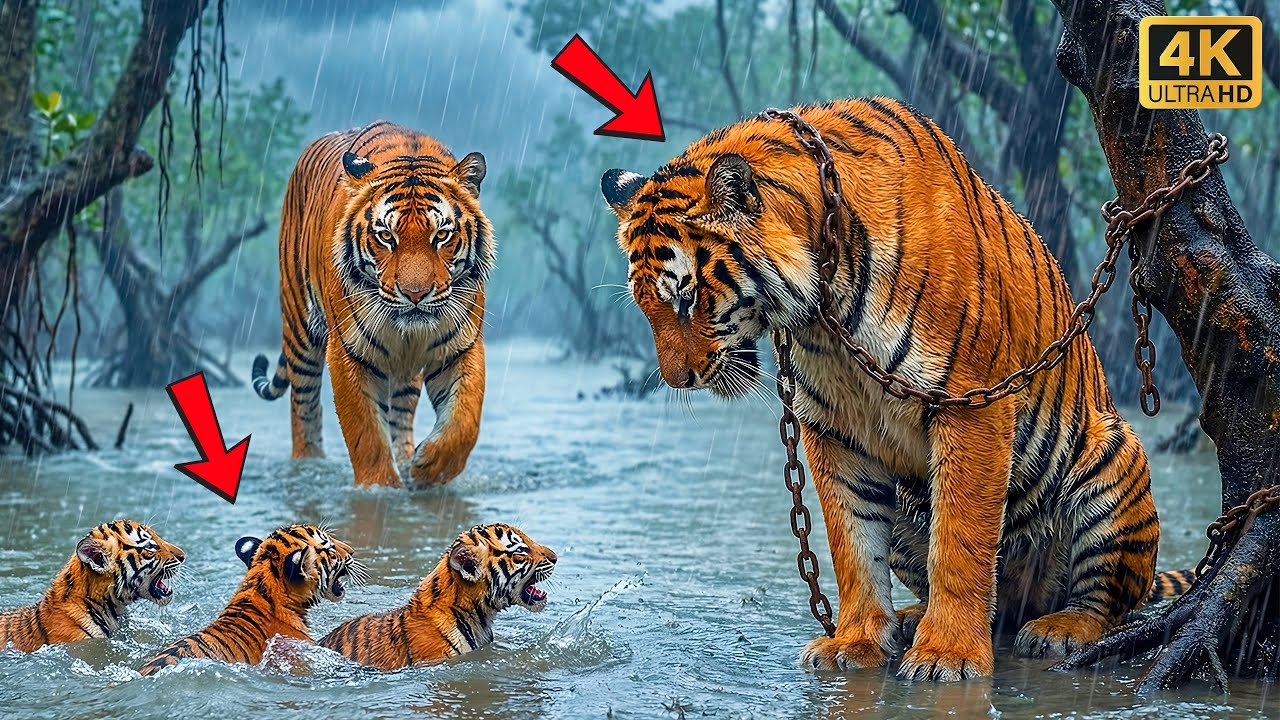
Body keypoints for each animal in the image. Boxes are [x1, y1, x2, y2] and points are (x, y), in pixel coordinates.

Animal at [251, 120, 493, 488]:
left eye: (441, 235)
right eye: (386, 237)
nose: (415, 294)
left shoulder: (461, 347)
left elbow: (465, 420)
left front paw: (426, 470)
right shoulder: (348, 352)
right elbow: (365, 435)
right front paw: (380, 490)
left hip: (405, 371)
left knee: (401, 414)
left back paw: (407, 457)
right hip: (300, 332)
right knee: (303, 408)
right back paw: (307, 466)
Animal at [600, 97, 1174, 681]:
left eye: (686, 298)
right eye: (646, 305)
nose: (678, 380)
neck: (823, 310)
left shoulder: (972, 403)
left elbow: (961, 541)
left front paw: (949, 654)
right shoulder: (834, 426)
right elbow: (852, 542)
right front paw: (855, 642)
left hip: (1111, 457)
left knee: (1104, 601)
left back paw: (1059, 629)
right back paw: (913, 617)